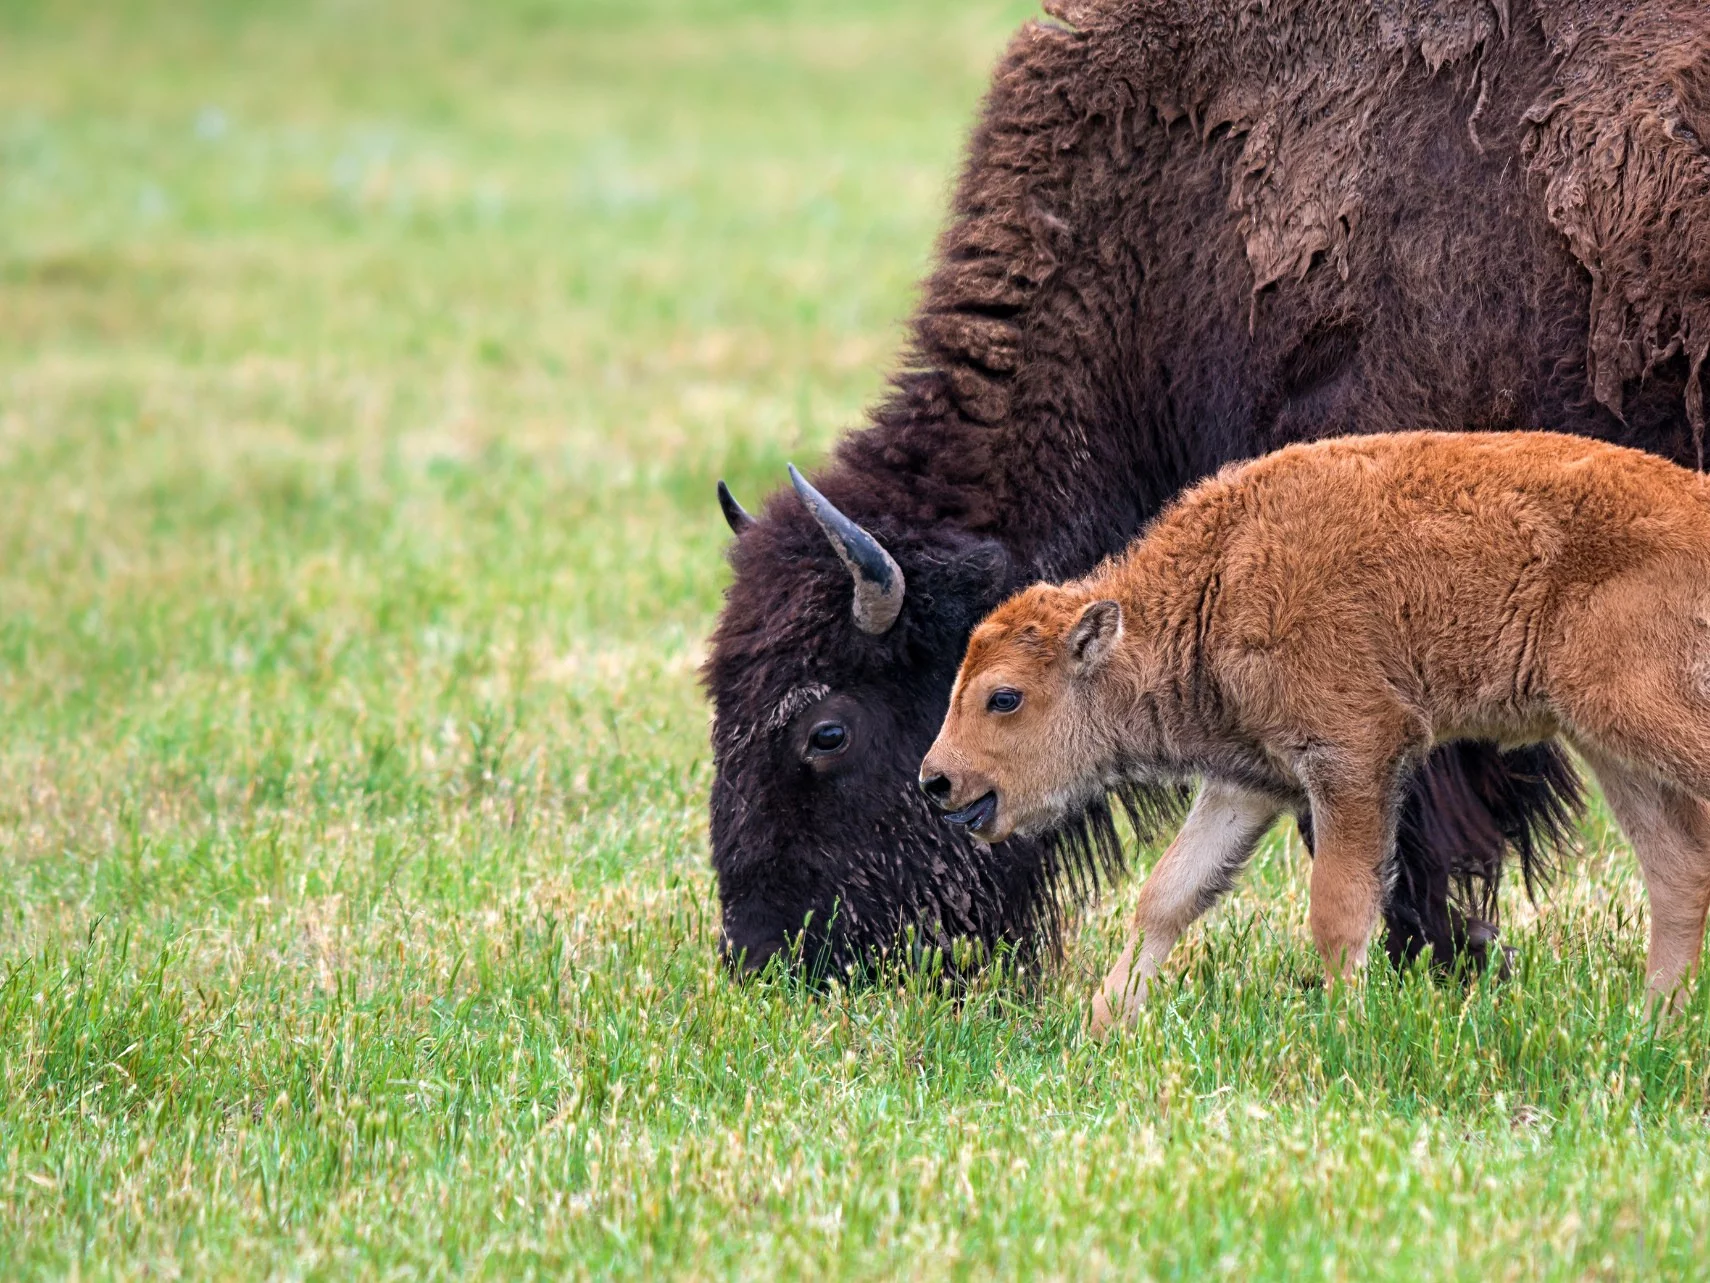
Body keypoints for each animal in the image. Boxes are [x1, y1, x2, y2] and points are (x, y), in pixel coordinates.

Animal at [923, 432, 1710, 1033]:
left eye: (1004, 697)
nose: (937, 780)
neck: (1217, 578)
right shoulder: (1248, 782)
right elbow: (1170, 895)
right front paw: (1101, 1025)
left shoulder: (1354, 757)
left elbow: (1338, 909)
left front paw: (1346, 1032)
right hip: (1611, 747)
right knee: (1677, 870)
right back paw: (1652, 1028)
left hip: (1645, 720)